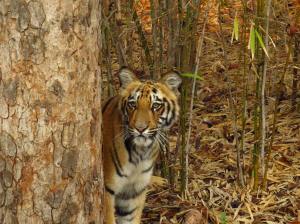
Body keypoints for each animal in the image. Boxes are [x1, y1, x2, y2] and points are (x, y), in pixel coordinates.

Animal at [102, 67, 182, 223]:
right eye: (133, 104)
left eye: (156, 106)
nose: (140, 128)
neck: (139, 154)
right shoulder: (107, 191)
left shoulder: (133, 193)